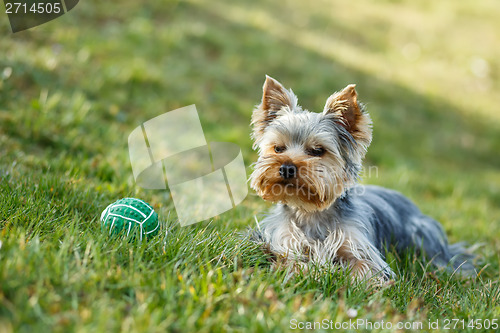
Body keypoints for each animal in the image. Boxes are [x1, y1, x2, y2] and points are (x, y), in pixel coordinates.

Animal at [252, 75, 474, 280]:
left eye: (317, 151)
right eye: (278, 148)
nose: (286, 168)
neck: (310, 211)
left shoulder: (360, 247)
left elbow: (364, 266)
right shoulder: (283, 240)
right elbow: (289, 260)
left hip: (421, 236)